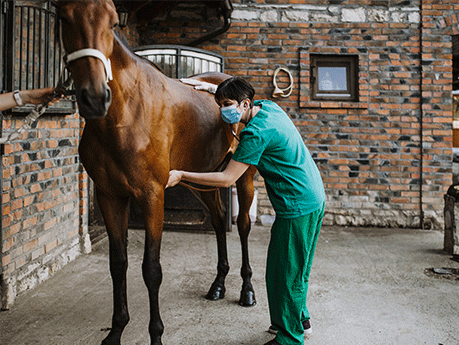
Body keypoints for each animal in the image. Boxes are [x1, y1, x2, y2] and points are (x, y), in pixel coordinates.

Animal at [57, 0, 256, 344]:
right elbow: (118, 263)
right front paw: (116, 331)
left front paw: (156, 334)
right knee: (219, 221)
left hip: (243, 177)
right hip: (203, 181)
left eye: (113, 23)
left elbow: (151, 269)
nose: (94, 97)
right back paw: (217, 285)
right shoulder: (110, 197)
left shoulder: (152, 197)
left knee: (242, 225)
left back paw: (246, 290)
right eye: (65, 18)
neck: (124, 115)